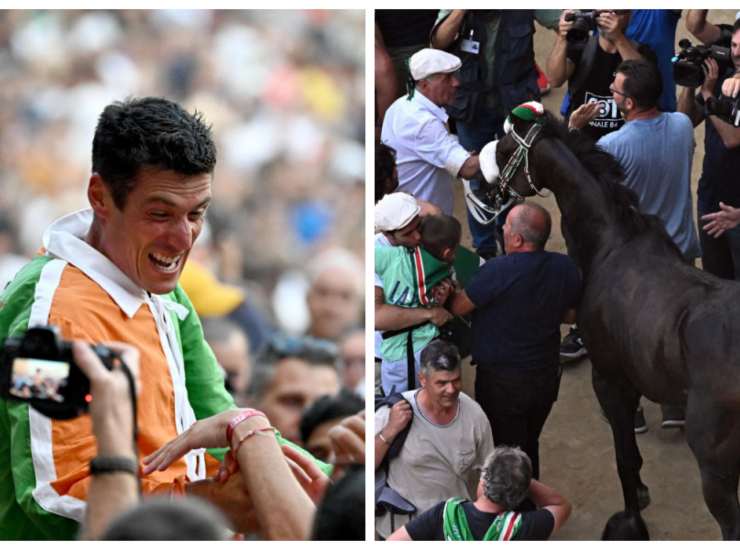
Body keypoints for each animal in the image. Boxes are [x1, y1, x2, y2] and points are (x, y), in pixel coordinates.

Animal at [492, 110, 740, 540]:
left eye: (507, 148)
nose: (483, 180)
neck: (613, 242)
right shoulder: (632, 376)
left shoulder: (609, 380)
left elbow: (625, 457)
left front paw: (630, 522)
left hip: (717, 471)